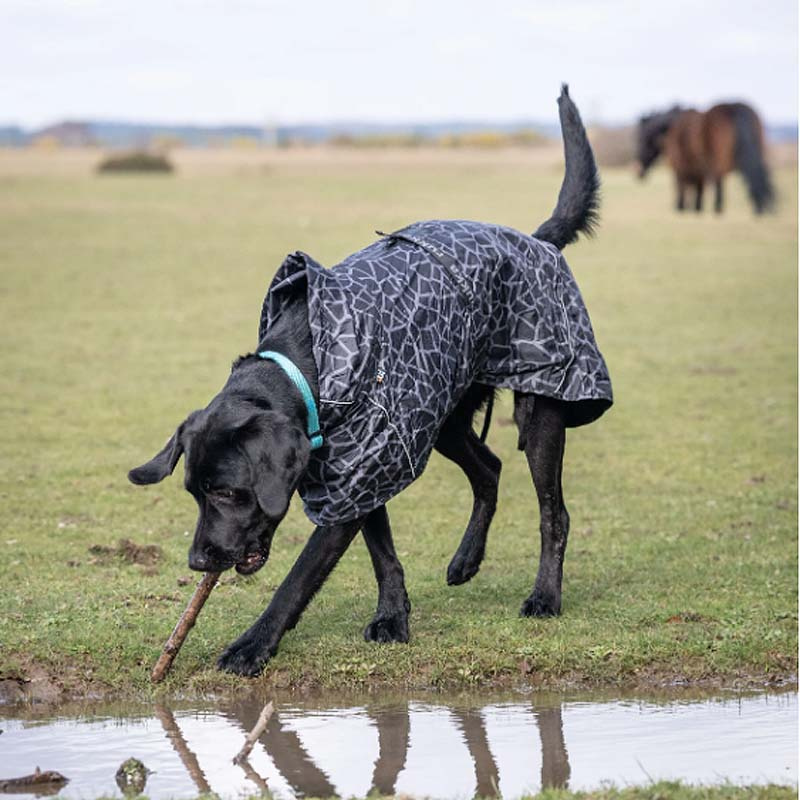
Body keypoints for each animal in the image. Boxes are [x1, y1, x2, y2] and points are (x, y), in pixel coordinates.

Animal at [130, 86, 612, 676]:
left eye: (226, 491)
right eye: (194, 491)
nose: (199, 561)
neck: (307, 370)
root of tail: (537, 241)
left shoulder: (361, 473)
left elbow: (298, 579)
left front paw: (252, 646)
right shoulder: (367, 467)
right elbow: (383, 554)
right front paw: (392, 618)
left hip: (540, 406)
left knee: (553, 513)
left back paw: (545, 597)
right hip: (438, 416)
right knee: (489, 469)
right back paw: (465, 560)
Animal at [636, 103, 772, 216]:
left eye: (642, 139)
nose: (639, 173)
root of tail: (734, 108)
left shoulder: (680, 169)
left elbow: (682, 189)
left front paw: (681, 208)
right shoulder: (698, 172)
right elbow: (698, 193)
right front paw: (696, 209)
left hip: (719, 163)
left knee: (720, 185)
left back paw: (719, 210)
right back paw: (759, 209)